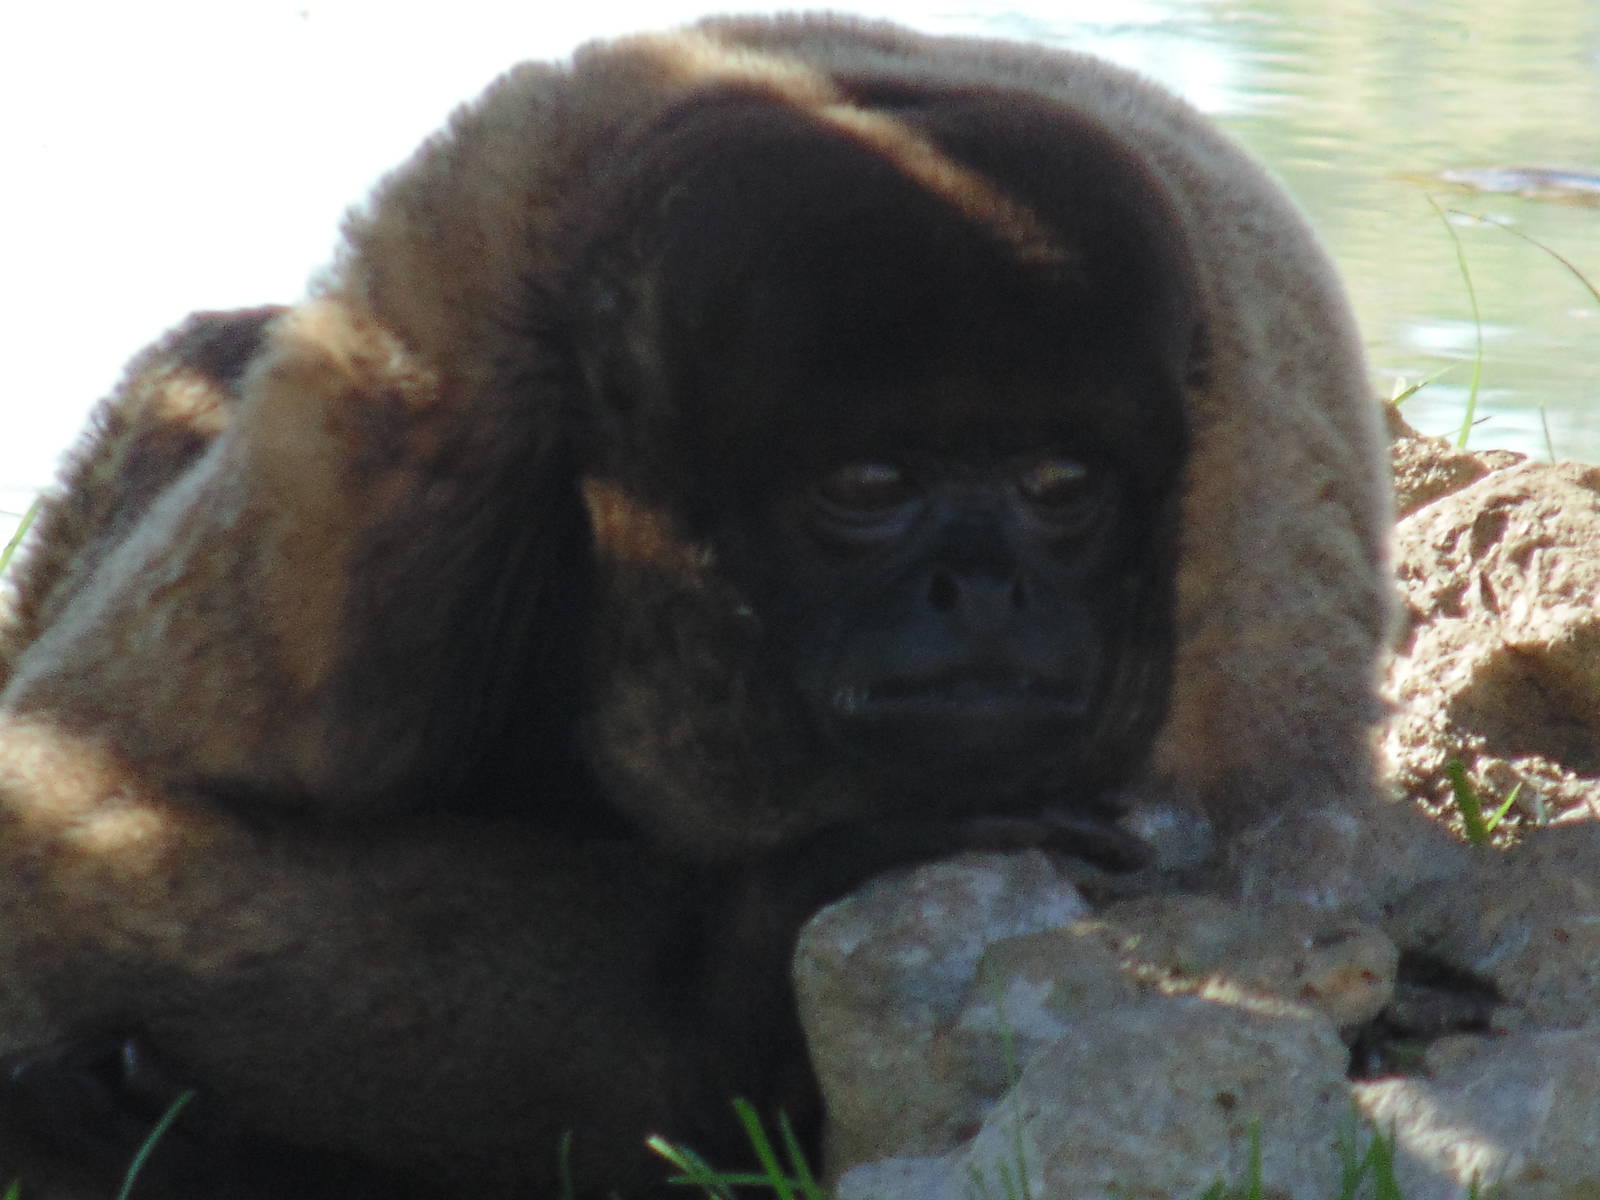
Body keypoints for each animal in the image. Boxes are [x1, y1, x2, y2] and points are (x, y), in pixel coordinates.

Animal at [0, 13, 1392, 1198]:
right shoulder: (392, 419)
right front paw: (767, 936)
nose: (985, 589)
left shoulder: (1256, 637)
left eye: (1060, 487)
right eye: (868, 487)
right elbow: (63, 833)